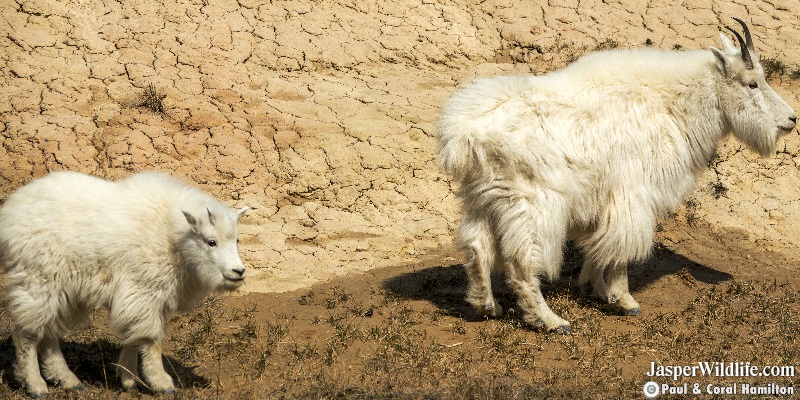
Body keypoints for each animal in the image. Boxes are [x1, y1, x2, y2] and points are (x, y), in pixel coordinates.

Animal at [0, 171, 248, 396]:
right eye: (211, 242)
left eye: (237, 240)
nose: (238, 272)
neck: (172, 236)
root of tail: (9, 213)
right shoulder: (143, 290)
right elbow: (150, 338)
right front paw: (161, 383)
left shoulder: (143, 298)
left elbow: (134, 336)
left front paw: (128, 379)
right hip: (38, 280)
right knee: (27, 334)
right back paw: (35, 385)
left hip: (61, 290)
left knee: (49, 332)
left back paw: (68, 380)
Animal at [440, 17, 796, 332]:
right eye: (752, 83)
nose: (791, 119)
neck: (672, 106)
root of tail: (464, 134)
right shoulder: (631, 194)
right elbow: (620, 249)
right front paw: (624, 300)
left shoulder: (602, 201)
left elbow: (598, 247)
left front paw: (593, 288)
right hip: (532, 202)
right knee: (522, 262)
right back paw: (549, 321)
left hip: (485, 197)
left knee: (476, 246)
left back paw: (486, 306)